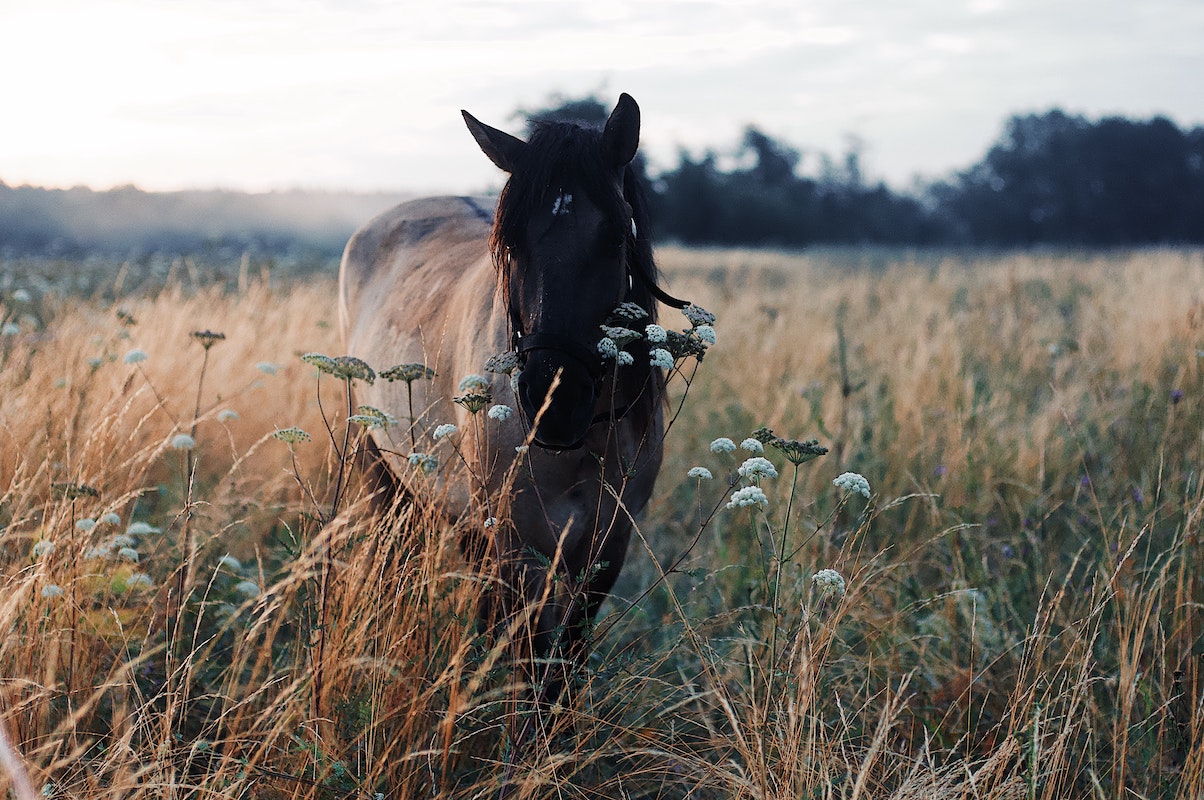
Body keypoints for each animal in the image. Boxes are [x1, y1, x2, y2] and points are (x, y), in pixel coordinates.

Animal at [338, 94, 685, 708]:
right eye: (510, 243)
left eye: (617, 239)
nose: (556, 399)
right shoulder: (519, 545)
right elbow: (534, 665)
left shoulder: (605, 548)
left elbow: (565, 665)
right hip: (382, 473)